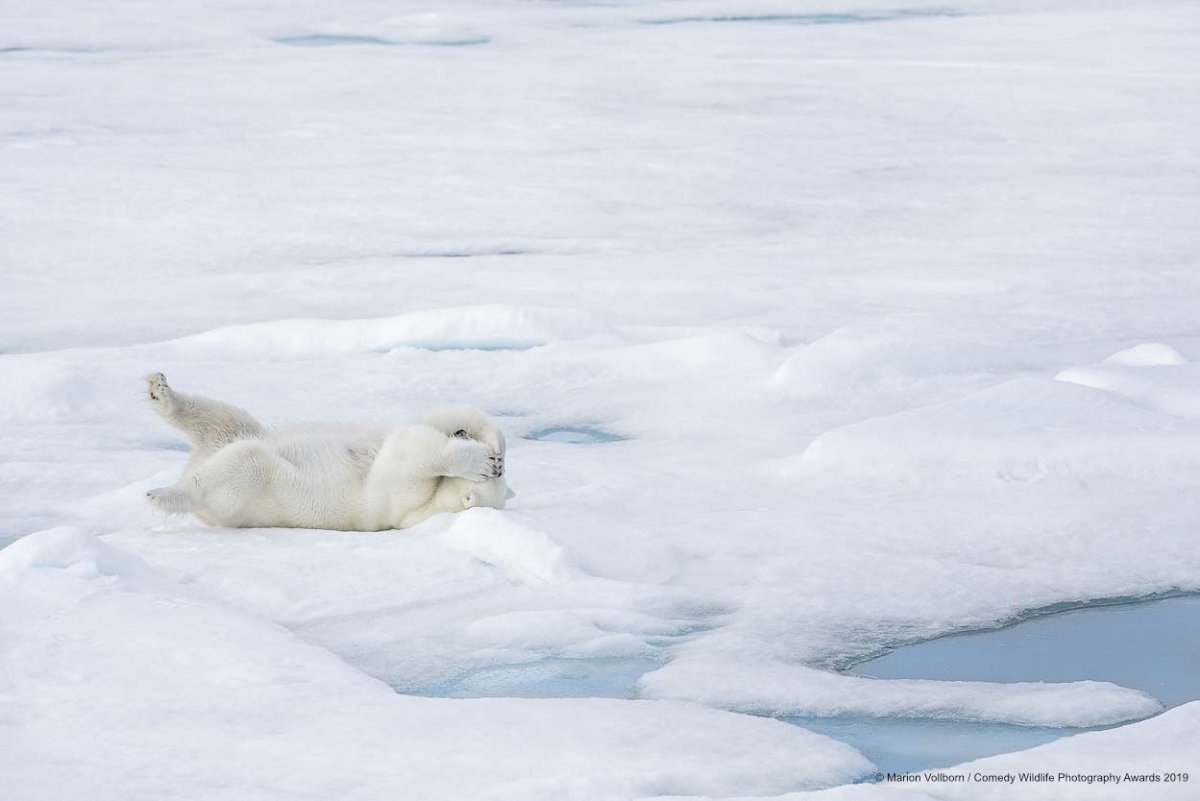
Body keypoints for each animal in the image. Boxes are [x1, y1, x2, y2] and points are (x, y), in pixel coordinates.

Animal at [144, 371, 511, 532]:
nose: (462, 436)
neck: (436, 504)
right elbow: (433, 421)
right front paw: (490, 446)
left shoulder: (401, 503)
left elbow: (409, 453)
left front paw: (478, 461)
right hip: (237, 432)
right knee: (225, 419)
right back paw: (160, 392)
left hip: (250, 491)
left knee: (242, 461)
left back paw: (162, 494)